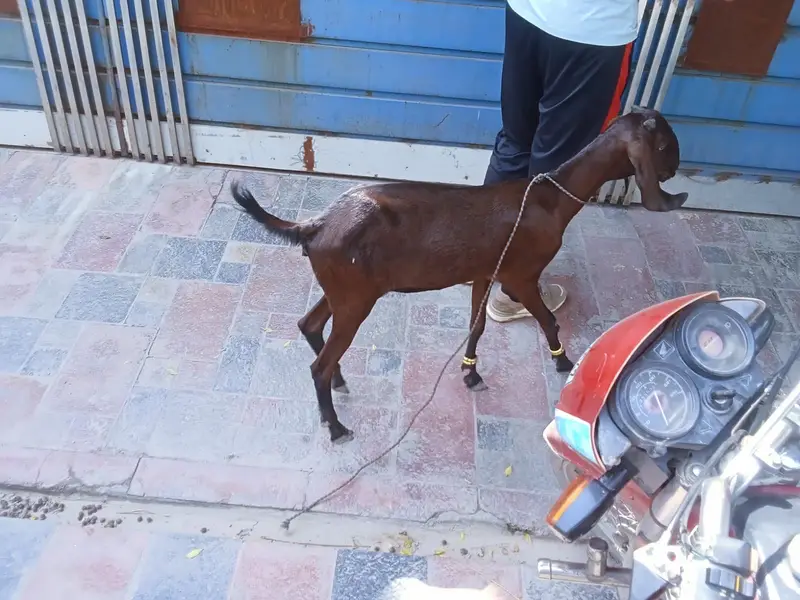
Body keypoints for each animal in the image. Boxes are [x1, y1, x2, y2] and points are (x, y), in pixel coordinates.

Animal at [230, 108, 688, 444]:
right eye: (665, 143)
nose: (673, 171)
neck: (550, 199)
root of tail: (314, 224)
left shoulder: (486, 272)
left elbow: (478, 324)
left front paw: (471, 372)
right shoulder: (521, 275)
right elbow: (547, 318)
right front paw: (565, 362)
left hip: (345, 290)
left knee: (308, 325)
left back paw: (340, 382)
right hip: (355, 297)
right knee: (317, 366)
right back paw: (337, 426)